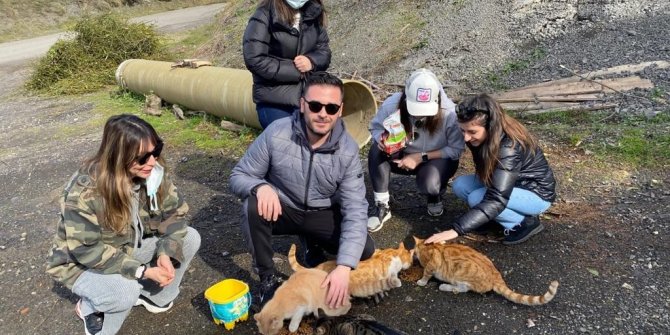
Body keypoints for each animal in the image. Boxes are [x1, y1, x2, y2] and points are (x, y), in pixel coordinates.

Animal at [414, 236, 560, 308]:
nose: (414, 254)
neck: (430, 245)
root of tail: (495, 275)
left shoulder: (432, 264)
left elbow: (426, 273)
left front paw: (421, 281)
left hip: (460, 273)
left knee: (464, 288)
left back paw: (446, 286)